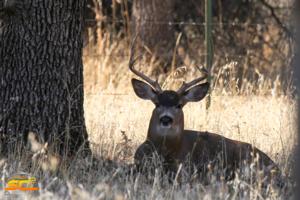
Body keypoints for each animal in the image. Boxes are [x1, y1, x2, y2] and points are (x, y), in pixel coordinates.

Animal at [127, 39, 282, 187]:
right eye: (157, 104)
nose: (166, 119)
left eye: (179, 105)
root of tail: (277, 168)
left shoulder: (184, 170)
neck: (166, 152)